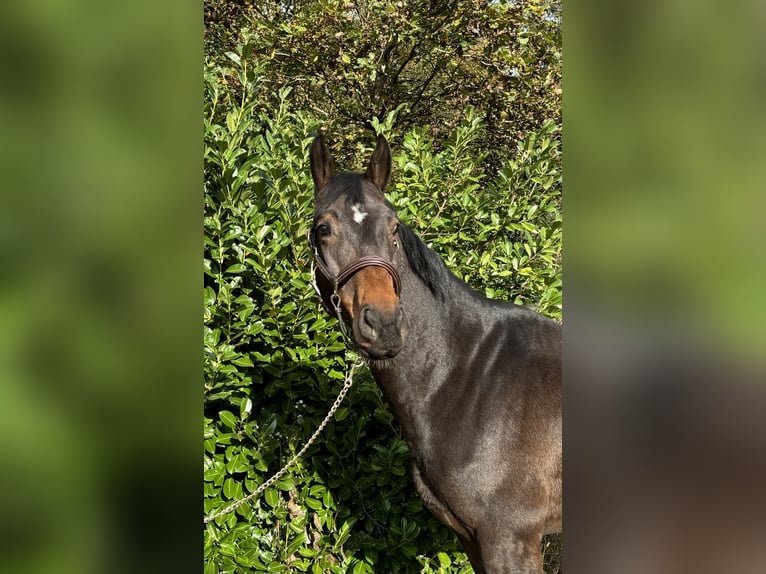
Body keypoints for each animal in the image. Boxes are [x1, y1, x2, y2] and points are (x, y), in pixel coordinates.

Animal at [308, 133, 564, 572]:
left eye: (394, 227)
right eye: (323, 228)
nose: (385, 324)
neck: (469, 378)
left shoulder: (511, 539)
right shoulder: (472, 538)